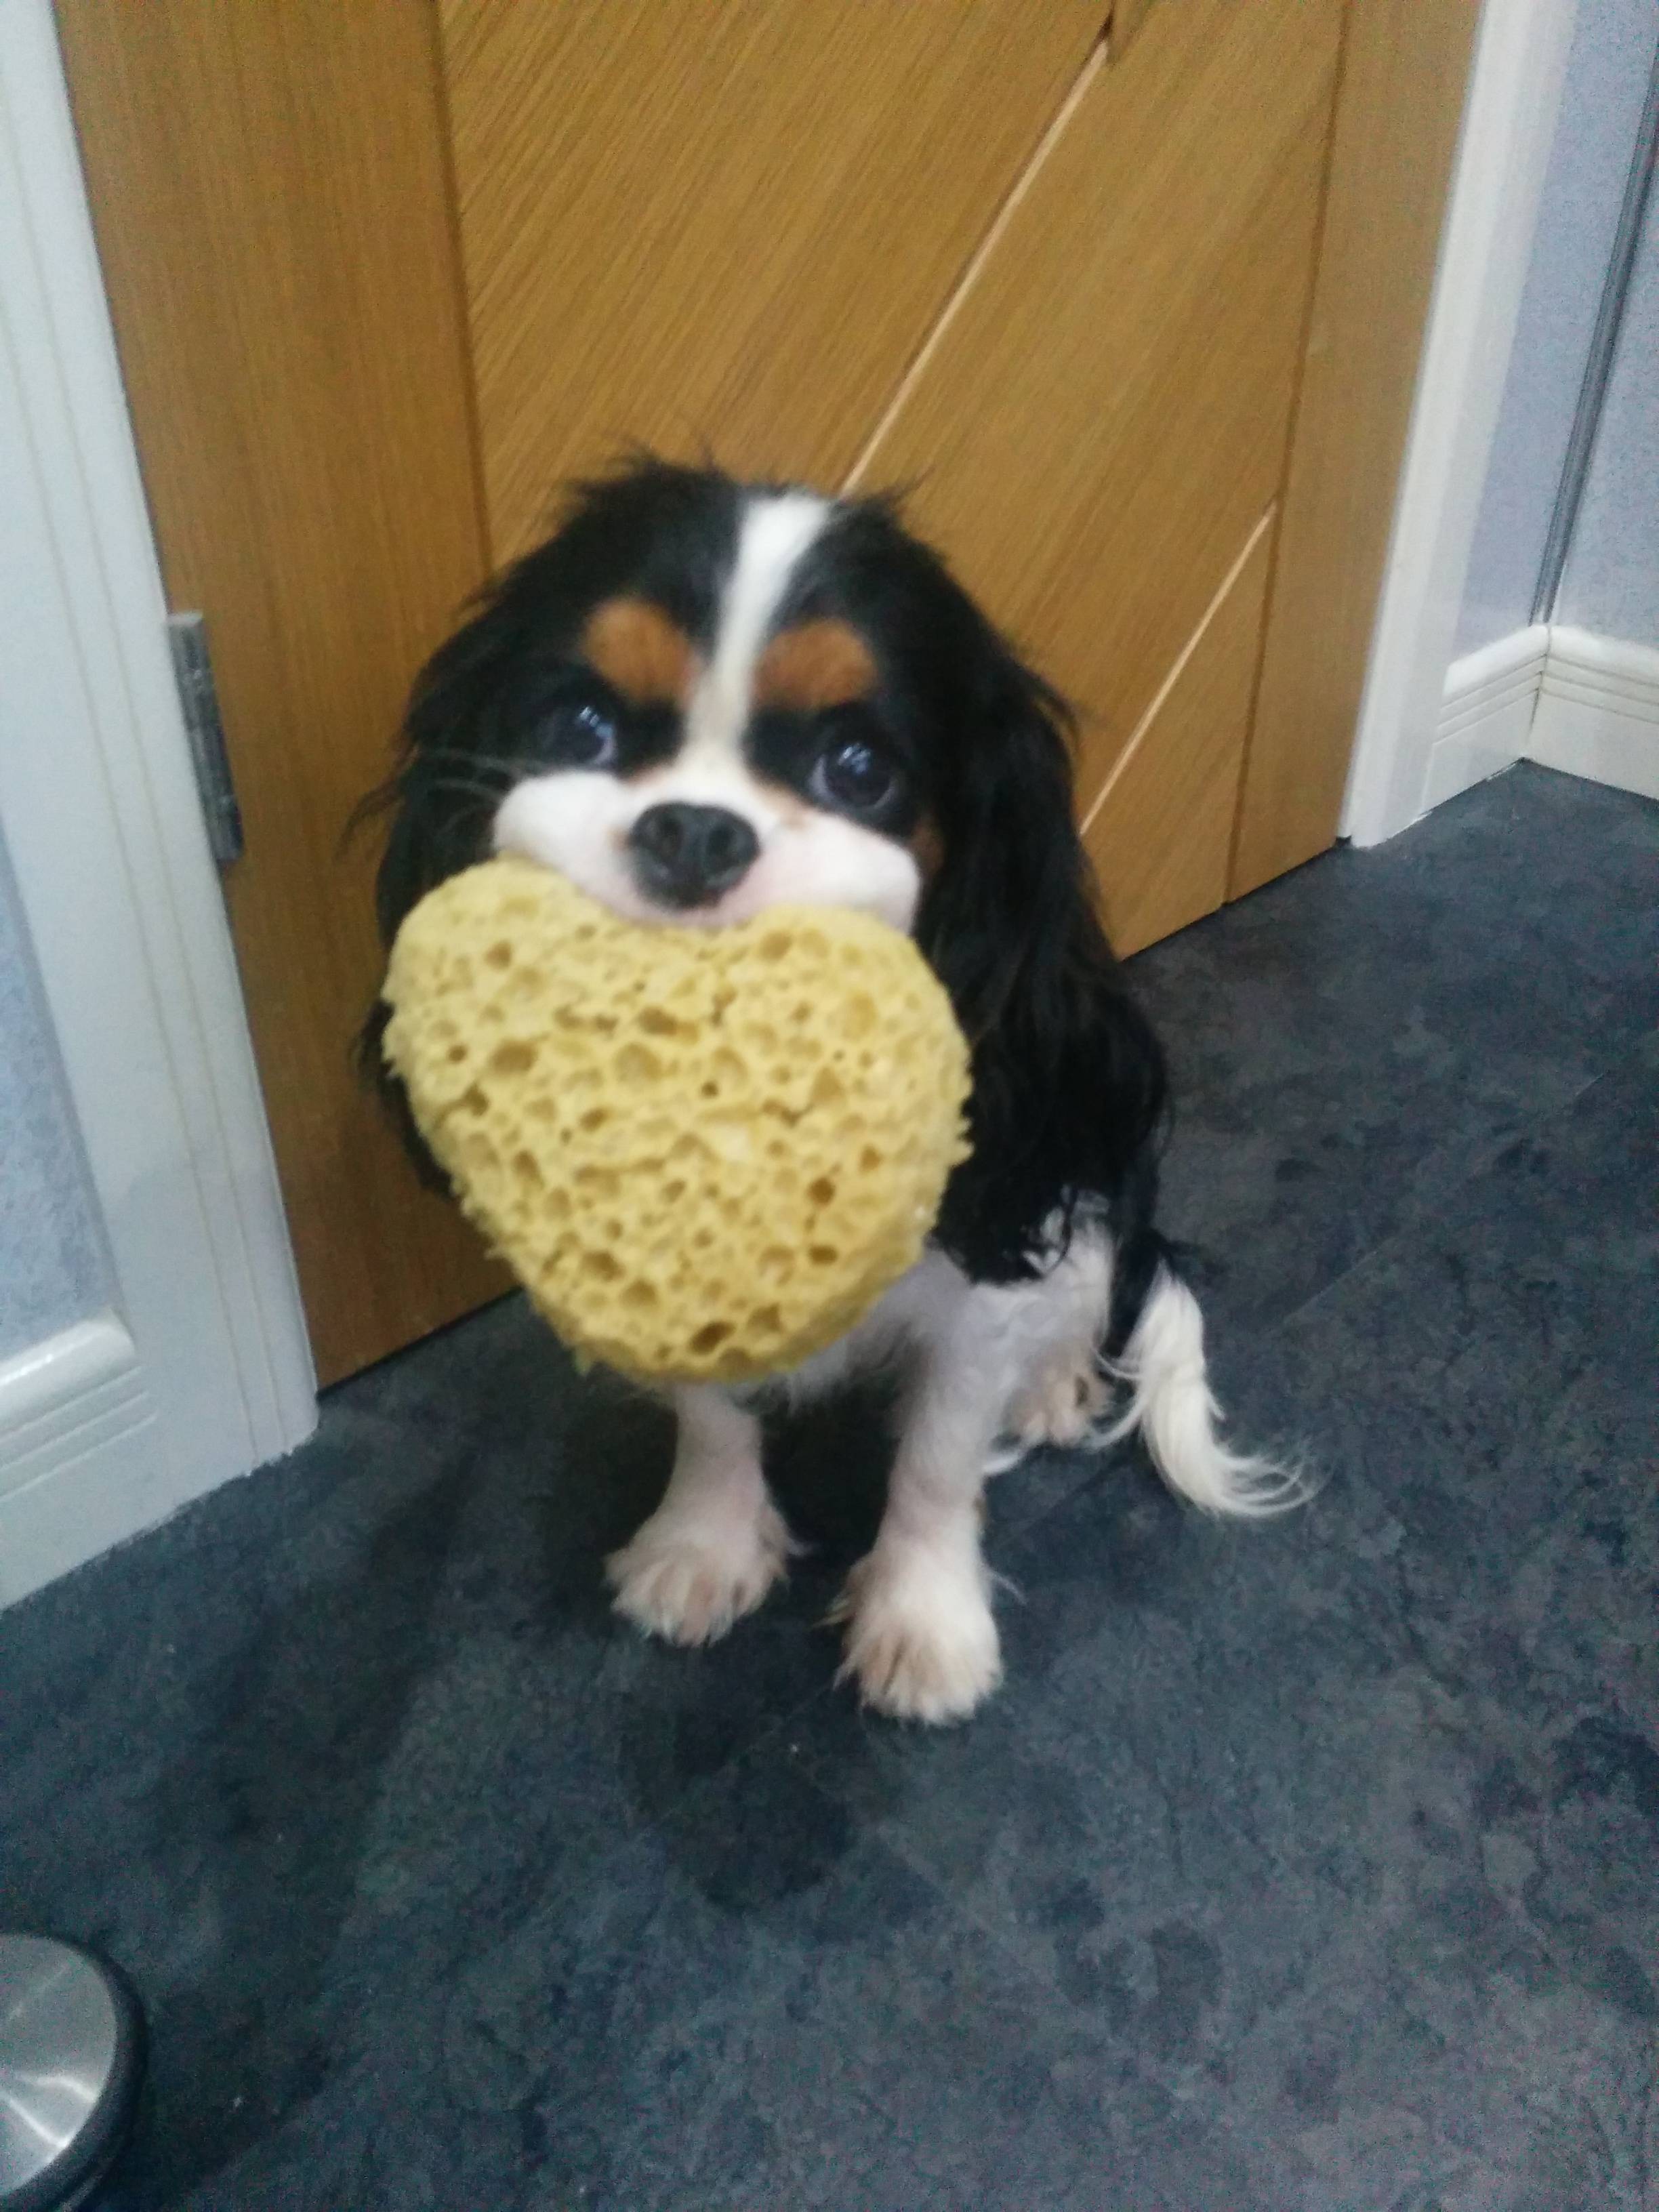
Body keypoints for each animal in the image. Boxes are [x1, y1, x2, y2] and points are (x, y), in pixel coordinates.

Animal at [367, 457, 1300, 1716]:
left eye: (858, 771)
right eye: (581, 726)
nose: (694, 831)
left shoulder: (980, 1281)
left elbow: (939, 1459)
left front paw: (925, 1619)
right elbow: (713, 1422)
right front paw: (703, 1546)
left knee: (1088, 1274)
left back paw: (1055, 1383)